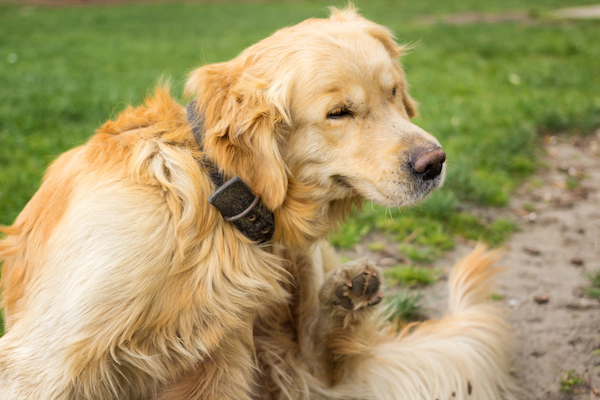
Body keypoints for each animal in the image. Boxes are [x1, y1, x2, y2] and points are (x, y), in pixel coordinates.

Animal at [1, 6, 510, 400]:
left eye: (394, 93)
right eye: (338, 113)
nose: (434, 162)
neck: (212, 188)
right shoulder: (42, 359)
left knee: (319, 364)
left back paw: (346, 296)